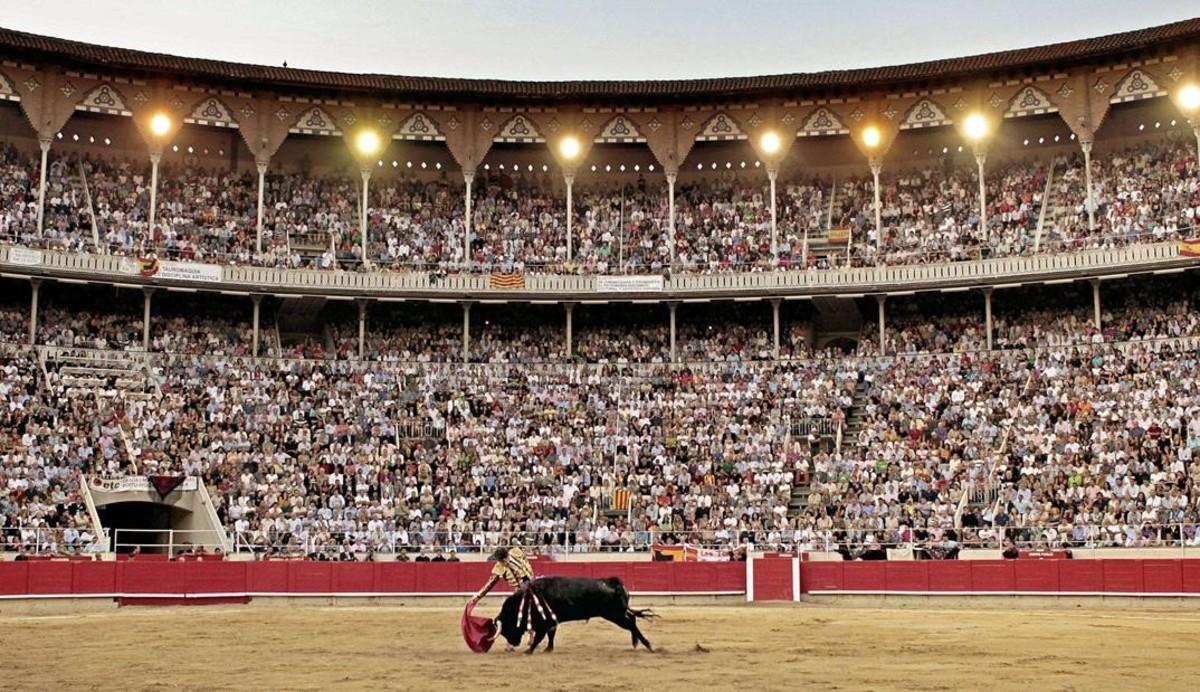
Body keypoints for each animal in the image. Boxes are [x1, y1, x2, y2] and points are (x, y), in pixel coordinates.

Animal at [492, 578, 652, 652]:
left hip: (614, 614)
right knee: (632, 619)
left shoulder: (545, 622)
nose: (513, 643)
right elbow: (551, 635)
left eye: (508, 626)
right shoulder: (551, 622)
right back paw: (636, 643)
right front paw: (548, 649)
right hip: (618, 613)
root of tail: (613, 582)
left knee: (630, 623)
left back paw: (647, 645)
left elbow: (539, 637)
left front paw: (528, 651)